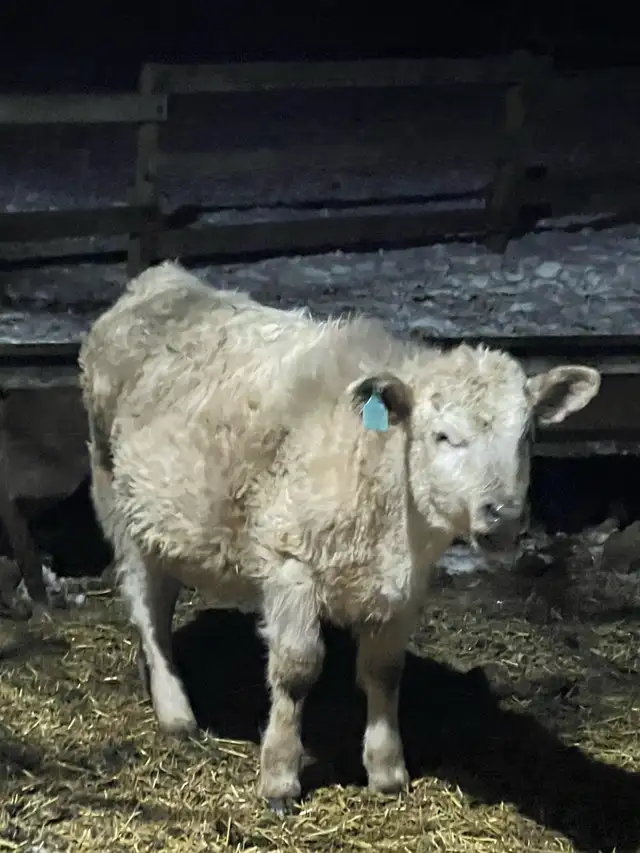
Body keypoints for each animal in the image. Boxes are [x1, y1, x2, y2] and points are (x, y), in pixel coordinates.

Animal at [78, 260, 601, 813]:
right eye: (442, 435)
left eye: (527, 435)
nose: (503, 513)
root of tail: (161, 279)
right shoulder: (289, 564)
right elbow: (296, 670)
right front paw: (280, 776)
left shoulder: (404, 588)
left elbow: (385, 669)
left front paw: (387, 769)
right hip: (116, 502)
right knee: (147, 608)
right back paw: (175, 711)